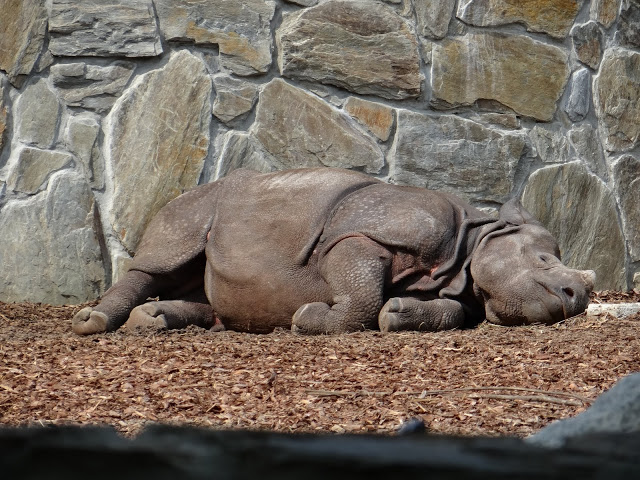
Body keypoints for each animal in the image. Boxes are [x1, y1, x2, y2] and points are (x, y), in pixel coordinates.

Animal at [72, 168, 595, 335]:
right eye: (545, 262)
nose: (576, 298)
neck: (470, 247)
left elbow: (449, 312)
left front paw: (398, 314)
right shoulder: (362, 236)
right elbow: (361, 291)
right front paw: (309, 318)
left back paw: (152, 322)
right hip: (189, 206)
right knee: (164, 257)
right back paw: (92, 324)